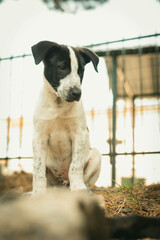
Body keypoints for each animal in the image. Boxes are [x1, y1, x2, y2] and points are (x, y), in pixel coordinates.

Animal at [31, 40, 101, 193]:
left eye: (81, 71)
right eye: (62, 67)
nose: (76, 93)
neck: (58, 104)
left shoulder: (79, 133)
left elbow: (75, 166)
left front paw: (78, 188)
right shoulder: (39, 136)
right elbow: (38, 170)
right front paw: (38, 192)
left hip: (96, 155)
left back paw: (81, 187)